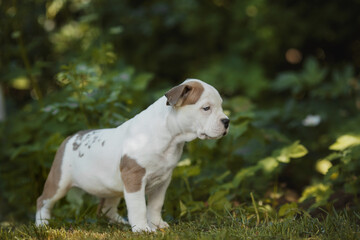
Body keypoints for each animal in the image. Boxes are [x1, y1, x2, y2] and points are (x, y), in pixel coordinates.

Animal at [35, 79, 229, 232]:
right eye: (206, 108)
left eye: (220, 106)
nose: (227, 121)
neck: (171, 136)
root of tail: (70, 138)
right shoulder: (134, 178)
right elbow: (139, 207)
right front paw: (143, 229)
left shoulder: (163, 181)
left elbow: (155, 205)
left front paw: (157, 224)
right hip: (59, 182)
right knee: (43, 200)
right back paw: (42, 224)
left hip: (111, 187)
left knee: (107, 208)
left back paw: (120, 222)